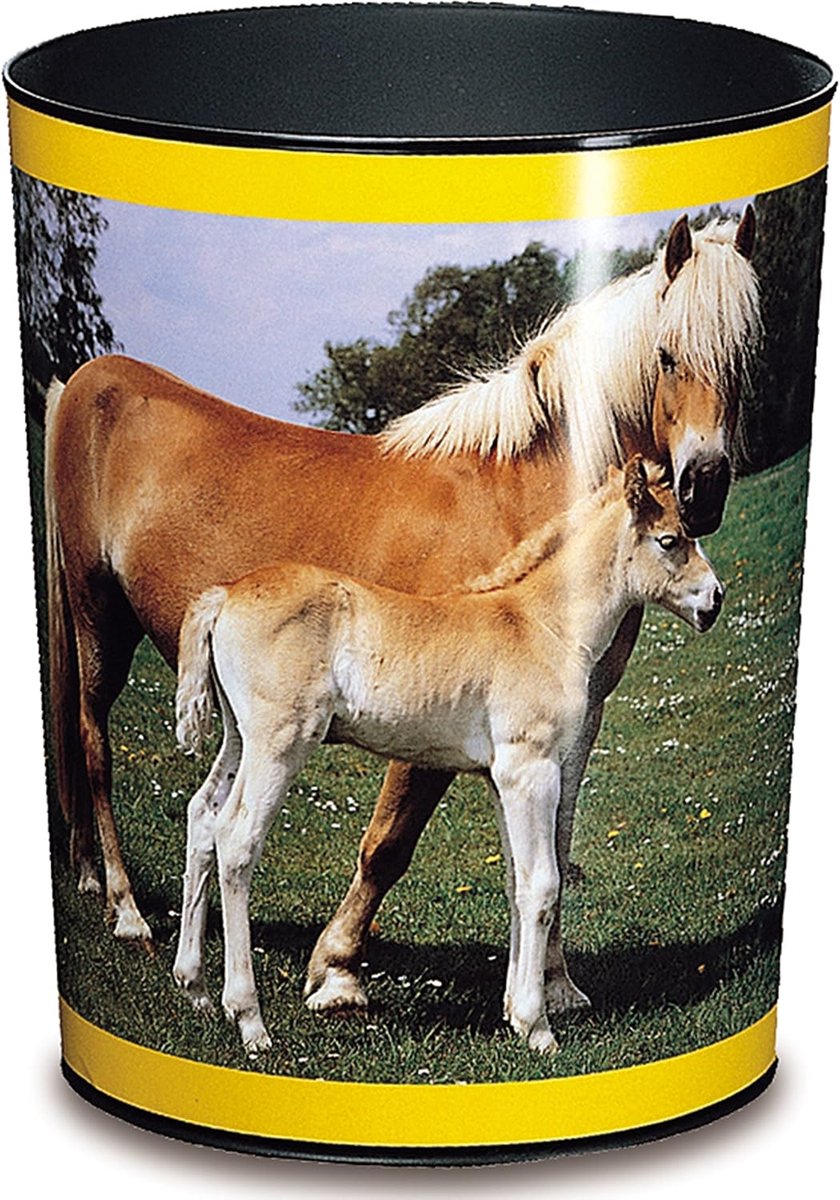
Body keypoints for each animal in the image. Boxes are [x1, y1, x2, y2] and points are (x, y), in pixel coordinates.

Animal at [173, 455, 723, 1054]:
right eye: (670, 540)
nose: (714, 600)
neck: (541, 625)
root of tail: (225, 594)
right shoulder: (531, 769)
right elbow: (544, 883)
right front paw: (537, 1026)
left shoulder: (500, 779)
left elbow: (516, 881)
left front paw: (513, 1010)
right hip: (279, 742)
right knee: (236, 839)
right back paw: (249, 1019)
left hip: (238, 738)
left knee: (203, 817)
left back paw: (194, 988)